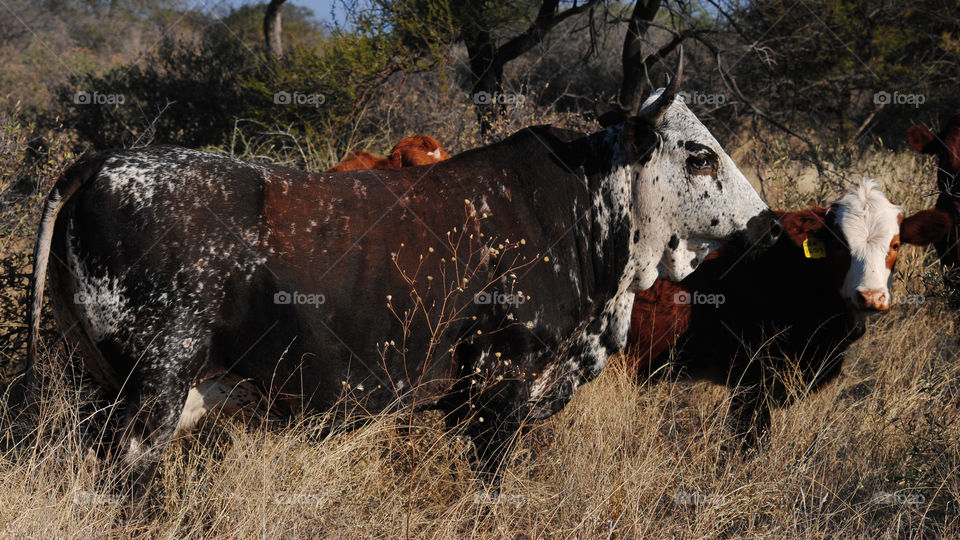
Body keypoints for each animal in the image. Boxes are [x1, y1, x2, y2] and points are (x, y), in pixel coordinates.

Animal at [23, 53, 781, 505]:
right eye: (700, 155)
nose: (769, 225)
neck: (576, 207)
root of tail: (103, 161)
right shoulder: (503, 386)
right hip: (153, 387)